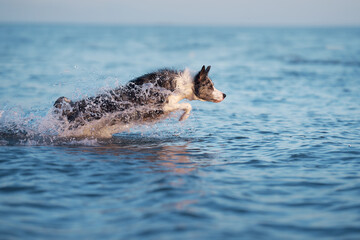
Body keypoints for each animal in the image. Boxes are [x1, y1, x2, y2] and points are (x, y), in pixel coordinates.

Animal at [52, 65, 225, 138]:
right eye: (210, 86)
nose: (224, 94)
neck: (185, 85)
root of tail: (72, 105)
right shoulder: (159, 106)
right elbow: (187, 105)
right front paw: (183, 117)